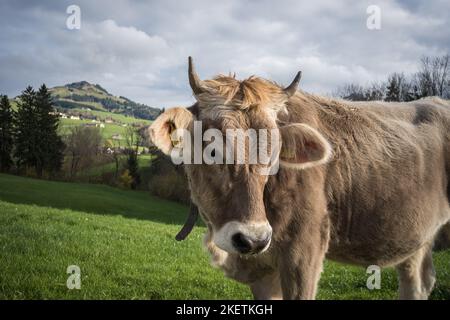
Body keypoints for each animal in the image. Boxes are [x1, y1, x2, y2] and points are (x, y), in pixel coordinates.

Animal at [149, 57, 450, 300]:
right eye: (212, 149)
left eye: (274, 154)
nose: (253, 239)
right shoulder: (262, 270)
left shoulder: (304, 253)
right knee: (418, 280)